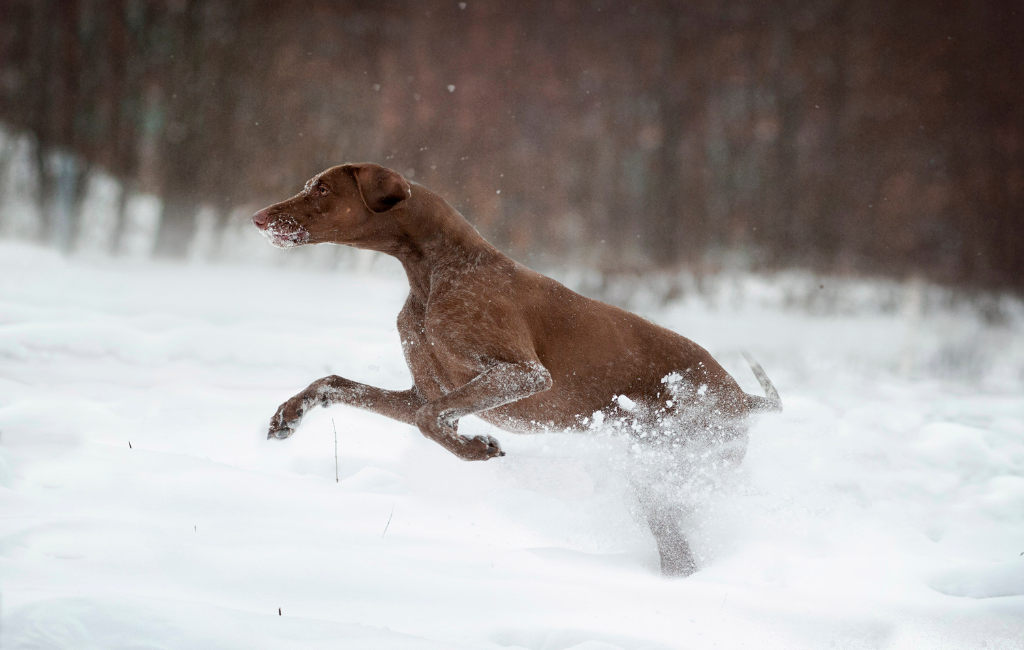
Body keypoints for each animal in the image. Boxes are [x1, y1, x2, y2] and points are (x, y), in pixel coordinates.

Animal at [251, 161, 778, 573]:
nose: (257, 218)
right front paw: (288, 415)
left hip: (674, 466)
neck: (434, 271)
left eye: (322, 189)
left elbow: (429, 420)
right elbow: (337, 384)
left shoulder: (521, 375)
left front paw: (474, 448)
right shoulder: (424, 391)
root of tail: (740, 397)